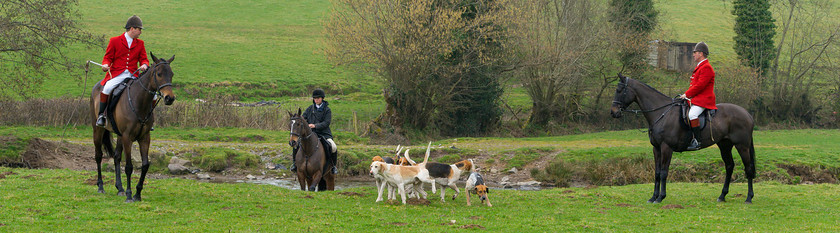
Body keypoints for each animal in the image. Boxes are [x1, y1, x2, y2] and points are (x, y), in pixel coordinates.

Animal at [90, 52, 176, 202]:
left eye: (171, 74)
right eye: (159, 74)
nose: (169, 98)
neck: (139, 102)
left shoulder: (144, 138)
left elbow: (145, 165)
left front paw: (137, 193)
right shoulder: (127, 137)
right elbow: (129, 166)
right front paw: (130, 194)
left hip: (119, 135)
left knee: (117, 157)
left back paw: (120, 188)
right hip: (98, 130)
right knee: (99, 156)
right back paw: (100, 186)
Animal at [612, 75, 756, 204]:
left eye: (619, 90)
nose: (613, 112)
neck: (662, 113)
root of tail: (747, 113)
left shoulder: (666, 147)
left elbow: (664, 172)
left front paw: (660, 197)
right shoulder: (656, 148)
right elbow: (657, 173)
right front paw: (653, 197)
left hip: (742, 146)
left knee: (748, 168)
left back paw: (749, 198)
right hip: (724, 145)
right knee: (729, 166)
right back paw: (722, 196)